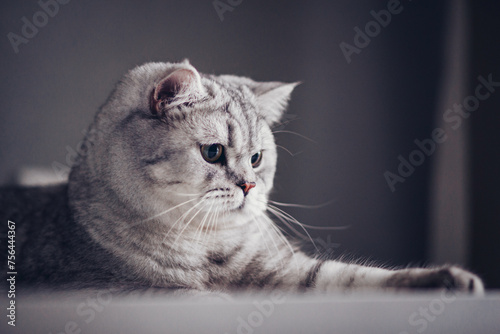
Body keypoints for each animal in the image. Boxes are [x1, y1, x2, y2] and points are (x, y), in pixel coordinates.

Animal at [0, 60, 484, 294]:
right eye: (213, 152)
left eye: (256, 158)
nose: (249, 186)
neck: (207, 245)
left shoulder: (290, 272)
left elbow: (357, 278)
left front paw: (450, 280)